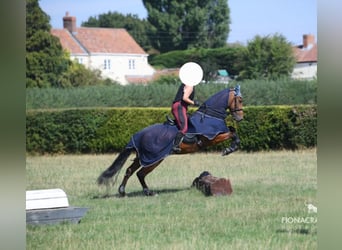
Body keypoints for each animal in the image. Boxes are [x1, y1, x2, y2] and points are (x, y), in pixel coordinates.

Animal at [97, 85, 244, 196]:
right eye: (240, 100)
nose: (240, 118)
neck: (210, 115)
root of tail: (137, 136)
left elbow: (232, 131)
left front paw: (230, 147)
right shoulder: (211, 138)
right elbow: (232, 134)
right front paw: (228, 150)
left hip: (142, 157)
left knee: (129, 170)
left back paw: (123, 191)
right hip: (154, 158)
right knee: (140, 173)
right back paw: (148, 192)